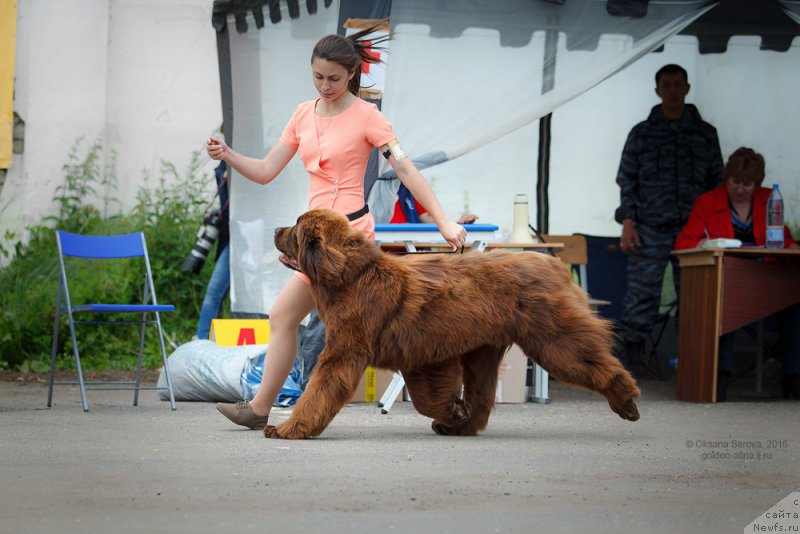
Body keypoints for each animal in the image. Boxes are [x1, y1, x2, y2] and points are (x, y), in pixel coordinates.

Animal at [266, 209, 640, 440]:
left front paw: (288, 430)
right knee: (483, 397)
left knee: (594, 363)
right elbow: (428, 398)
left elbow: (319, 391)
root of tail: (553, 264)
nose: (275, 230)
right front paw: (454, 412)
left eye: (296, 228)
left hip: (552, 340)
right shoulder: (424, 359)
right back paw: (462, 425)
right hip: (482, 352)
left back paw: (627, 401)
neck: (350, 276)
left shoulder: (346, 352)